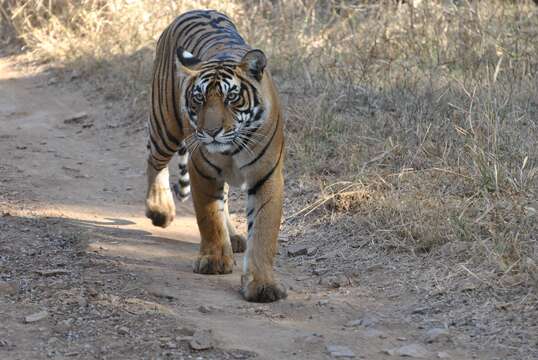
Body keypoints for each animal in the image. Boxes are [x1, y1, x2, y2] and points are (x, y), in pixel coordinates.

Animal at [142, 8, 284, 302]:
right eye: (199, 98)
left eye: (232, 98)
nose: (211, 131)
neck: (234, 147)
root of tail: (196, 9)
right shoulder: (203, 170)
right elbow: (209, 217)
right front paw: (215, 260)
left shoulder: (266, 176)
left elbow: (263, 231)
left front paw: (263, 284)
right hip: (165, 125)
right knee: (154, 161)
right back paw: (160, 209)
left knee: (225, 195)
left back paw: (235, 237)